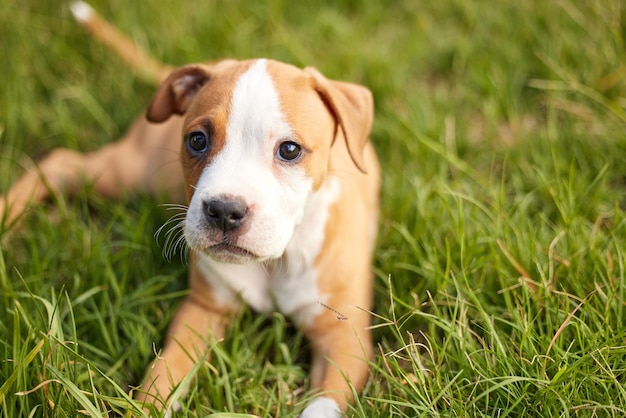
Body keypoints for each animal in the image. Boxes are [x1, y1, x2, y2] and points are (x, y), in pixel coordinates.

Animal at [0, 2, 378, 414]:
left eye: (290, 149)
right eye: (197, 140)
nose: (225, 211)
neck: (277, 260)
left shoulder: (344, 338)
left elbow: (323, 404)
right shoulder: (202, 311)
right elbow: (165, 373)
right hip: (135, 173)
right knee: (61, 163)